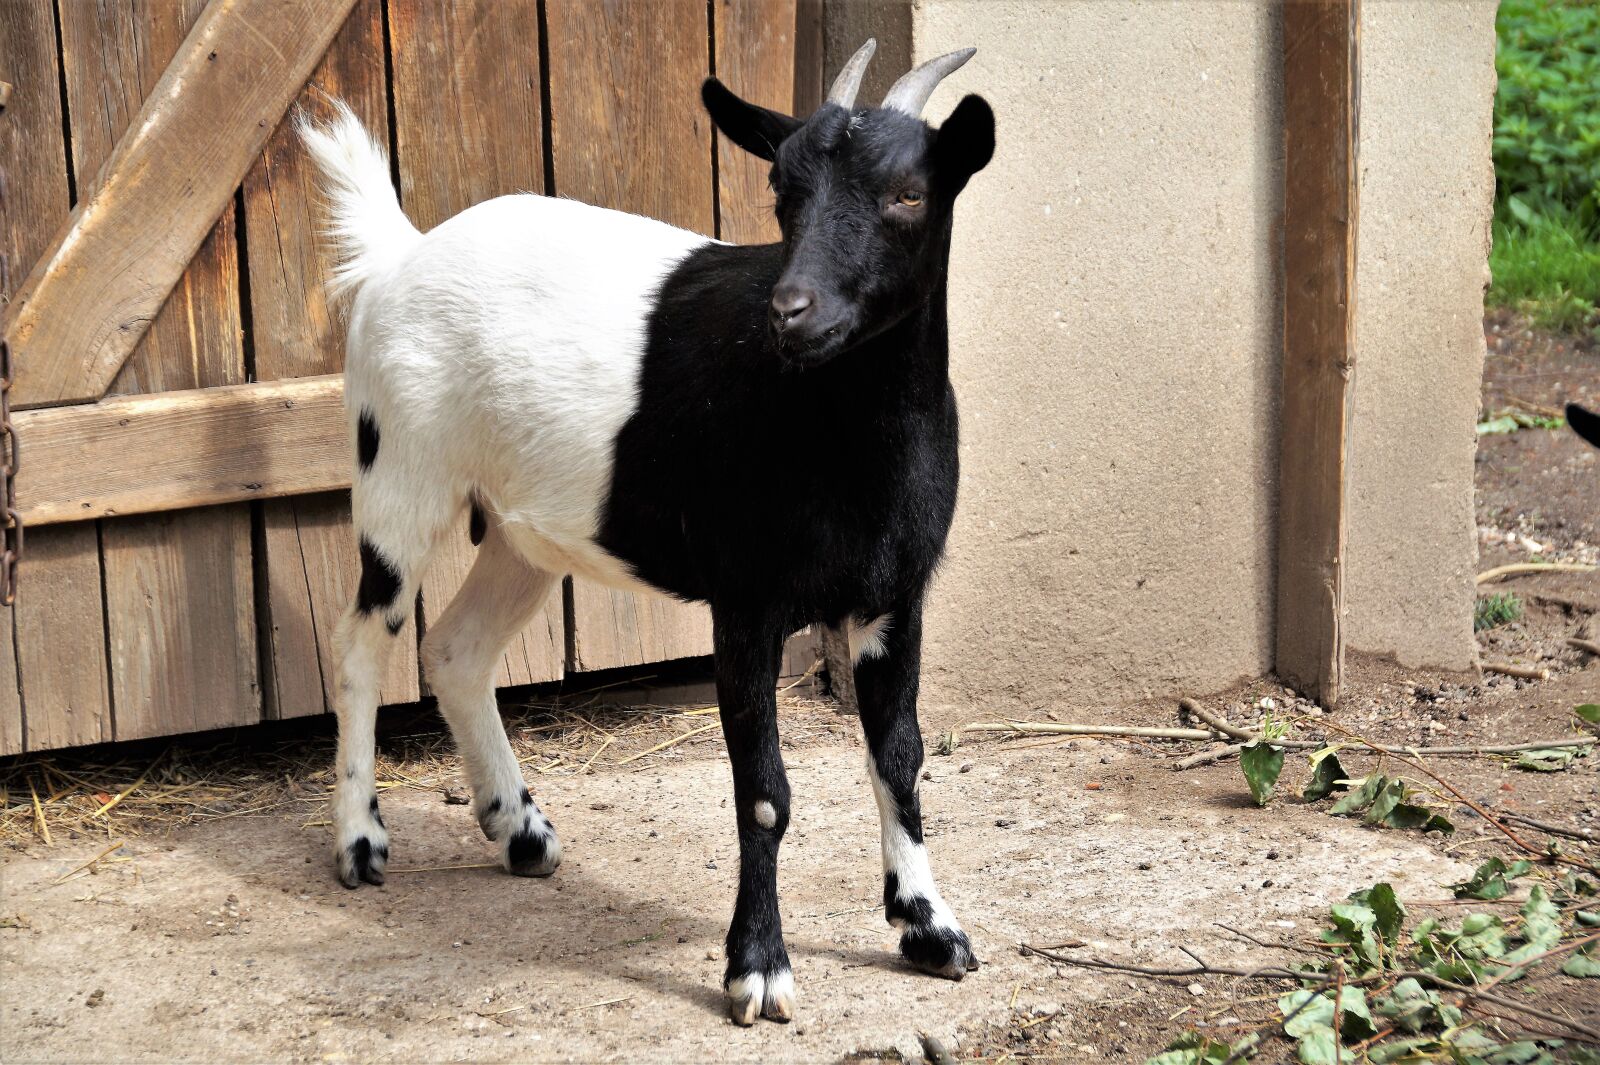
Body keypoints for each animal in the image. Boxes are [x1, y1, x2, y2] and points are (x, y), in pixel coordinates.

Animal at [300, 38, 994, 1025]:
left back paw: (519, 828)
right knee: (365, 637)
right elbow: (765, 793)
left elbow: (900, 758)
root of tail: (401, 252)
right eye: (780, 188)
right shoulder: (745, 602)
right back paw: (361, 842)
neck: (840, 437)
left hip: (525, 530)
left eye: (909, 192)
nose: (792, 311)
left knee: (457, 648)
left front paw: (930, 928)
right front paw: (757, 969)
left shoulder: (895, 595)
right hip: (401, 468)